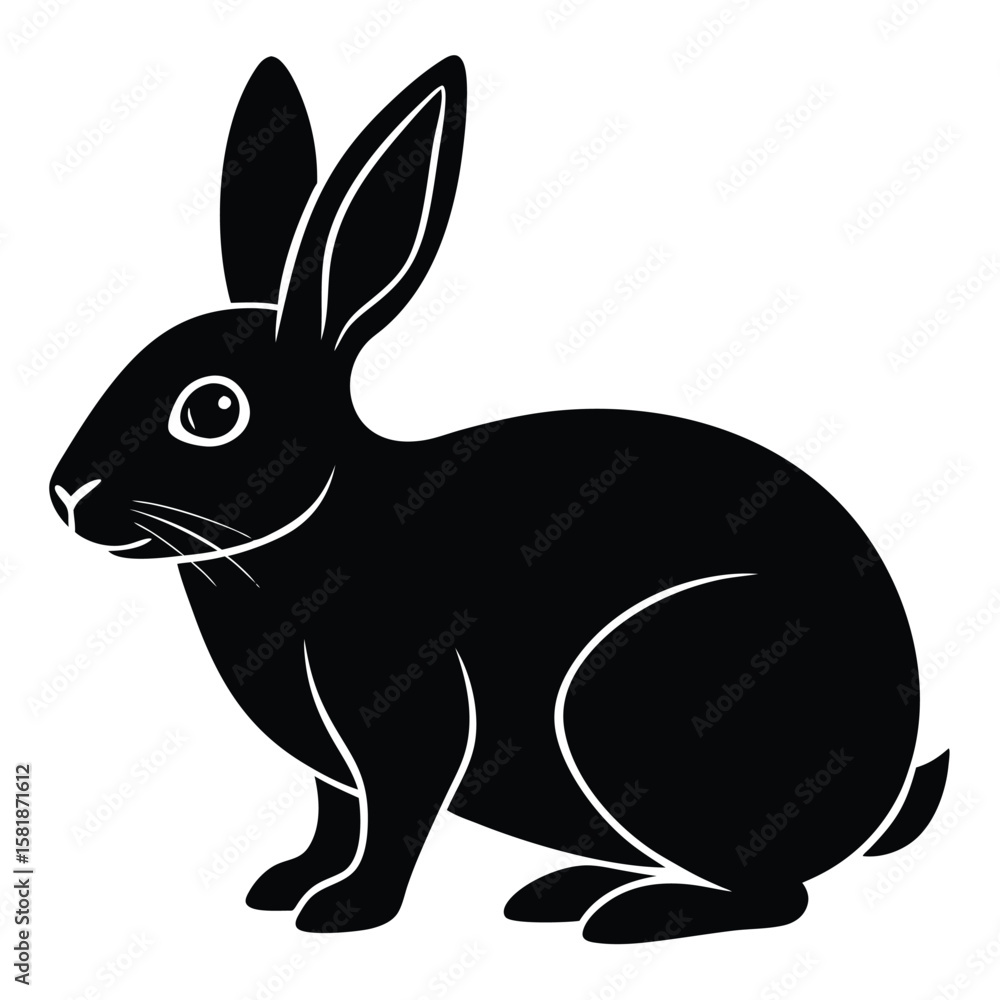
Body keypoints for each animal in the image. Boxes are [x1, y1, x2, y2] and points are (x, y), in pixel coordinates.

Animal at [50, 55, 950, 943]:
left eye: (211, 410)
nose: (66, 493)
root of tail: (884, 794)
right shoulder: (333, 773)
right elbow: (335, 817)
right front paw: (287, 884)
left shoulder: (407, 716)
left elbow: (396, 817)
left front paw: (345, 911)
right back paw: (563, 893)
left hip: (640, 705)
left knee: (777, 896)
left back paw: (629, 916)